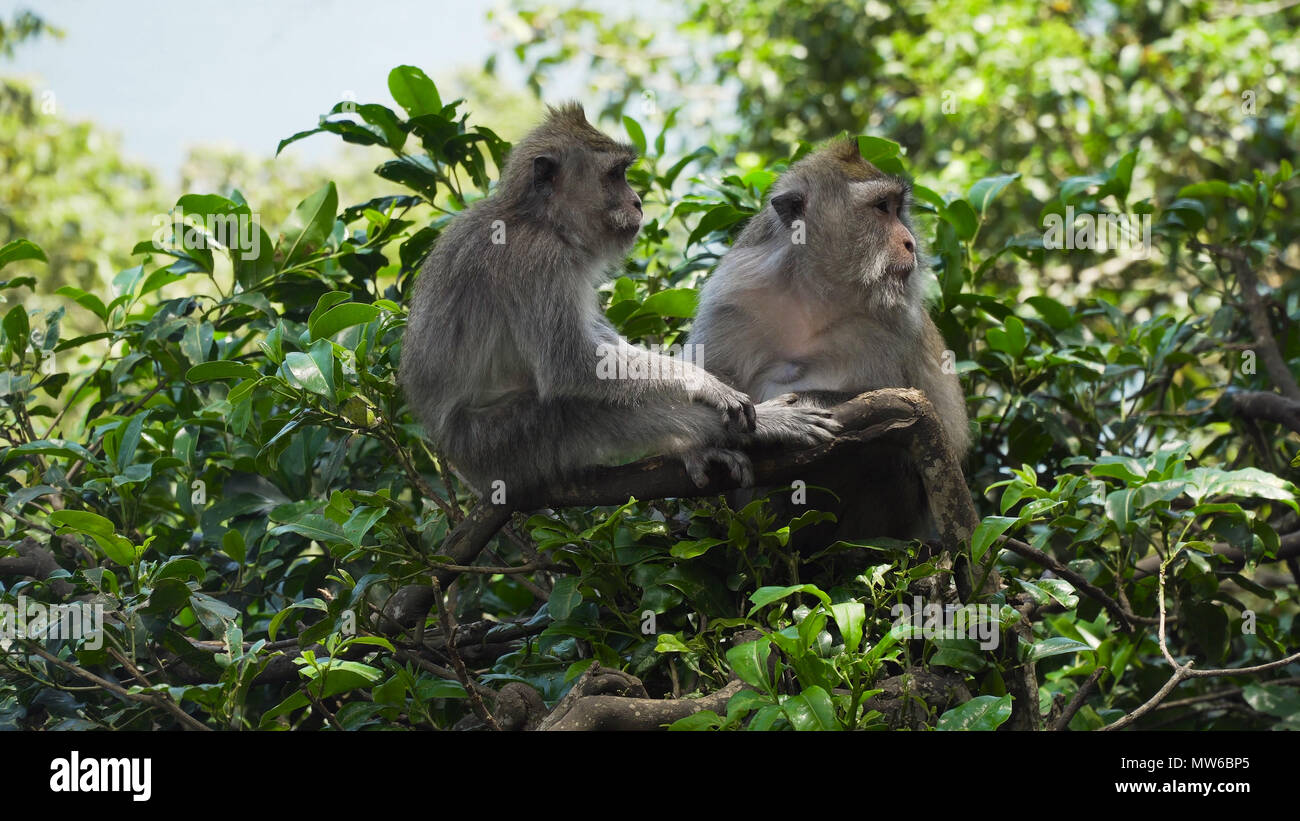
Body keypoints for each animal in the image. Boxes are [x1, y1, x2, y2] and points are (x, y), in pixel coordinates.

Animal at [398, 103, 841, 500]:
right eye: (615, 176)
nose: (638, 202)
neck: (539, 220)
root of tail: (457, 463)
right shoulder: (538, 259)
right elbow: (570, 362)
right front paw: (706, 384)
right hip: (498, 447)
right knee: (580, 410)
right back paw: (764, 426)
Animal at [690, 137, 970, 541]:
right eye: (881, 208)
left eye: (898, 209)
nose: (910, 243)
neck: (816, 294)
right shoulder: (731, 298)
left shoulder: (898, 326)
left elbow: (934, 426)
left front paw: (796, 405)